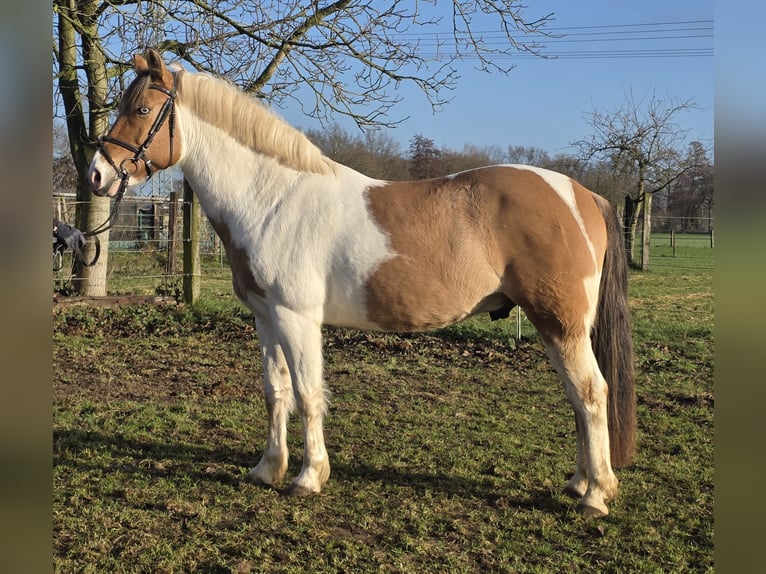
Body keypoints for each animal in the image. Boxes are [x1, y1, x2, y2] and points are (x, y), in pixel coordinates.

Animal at [88, 49, 636, 517]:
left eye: (141, 108)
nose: (97, 175)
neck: (271, 199)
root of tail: (581, 194)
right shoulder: (266, 319)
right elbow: (276, 391)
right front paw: (267, 469)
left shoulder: (297, 318)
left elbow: (308, 393)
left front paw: (309, 477)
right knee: (578, 397)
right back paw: (580, 483)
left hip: (560, 324)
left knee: (591, 393)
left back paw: (596, 496)